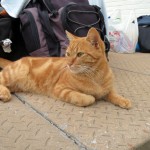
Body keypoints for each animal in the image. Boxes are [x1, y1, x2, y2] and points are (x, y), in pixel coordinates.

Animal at [0, 27, 131, 108]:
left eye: (79, 54)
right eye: (67, 54)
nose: (68, 64)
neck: (95, 75)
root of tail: (15, 61)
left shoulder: (107, 89)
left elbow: (113, 93)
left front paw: (123, 100)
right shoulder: (61, 89)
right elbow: (88, 98)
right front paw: (91, 96)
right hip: (11, 75)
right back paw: (4, 93)